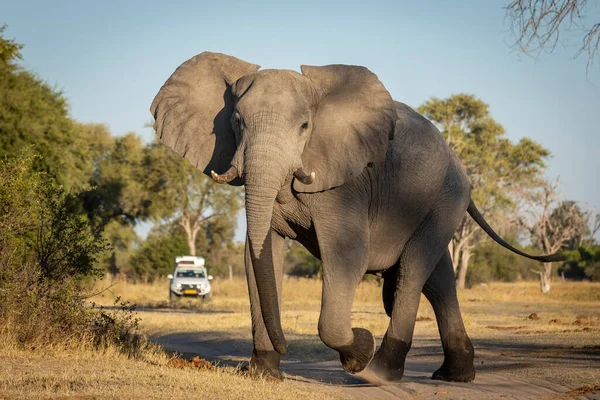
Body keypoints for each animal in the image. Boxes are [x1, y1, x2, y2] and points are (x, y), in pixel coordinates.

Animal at [150, 51, 564, 382]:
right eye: (236, 121)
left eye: (304, 126)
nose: (283, 349)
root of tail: (460, 166)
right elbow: (258, 258)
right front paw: (263, 375)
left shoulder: (346, 185)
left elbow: (346, 255)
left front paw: (359, 350)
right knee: (439, 281)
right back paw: (454, 376)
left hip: (446, 198)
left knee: (414, 271)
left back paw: (379, 373)